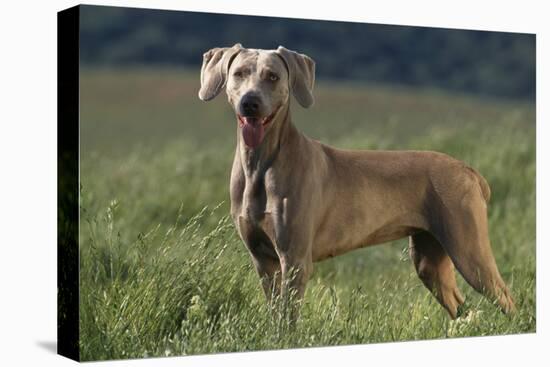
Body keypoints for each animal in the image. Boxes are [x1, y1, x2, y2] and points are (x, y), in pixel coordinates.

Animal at [198, 43, 516, 320]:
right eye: (239, 74)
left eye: (272, 77)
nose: (249, 103)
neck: (260, 165)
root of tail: (469, 170)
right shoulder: (263, 260)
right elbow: (275, 315)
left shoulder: (295, 259)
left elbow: (289, 319)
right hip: (429, 258)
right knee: (460, 306)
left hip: (469, 250)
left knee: (506, 299)